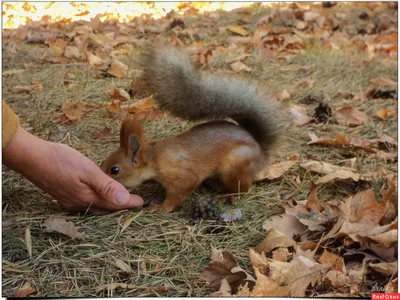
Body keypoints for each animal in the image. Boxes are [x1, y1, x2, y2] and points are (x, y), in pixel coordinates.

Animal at [101, 45, 286, 213]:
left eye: (115, 170)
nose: (105, 176)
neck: (154, 157)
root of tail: (261, 154)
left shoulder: (180, 176)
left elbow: (179, 193)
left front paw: (160, 207)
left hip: (235, 165)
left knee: (243, 188)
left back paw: (229, 196)